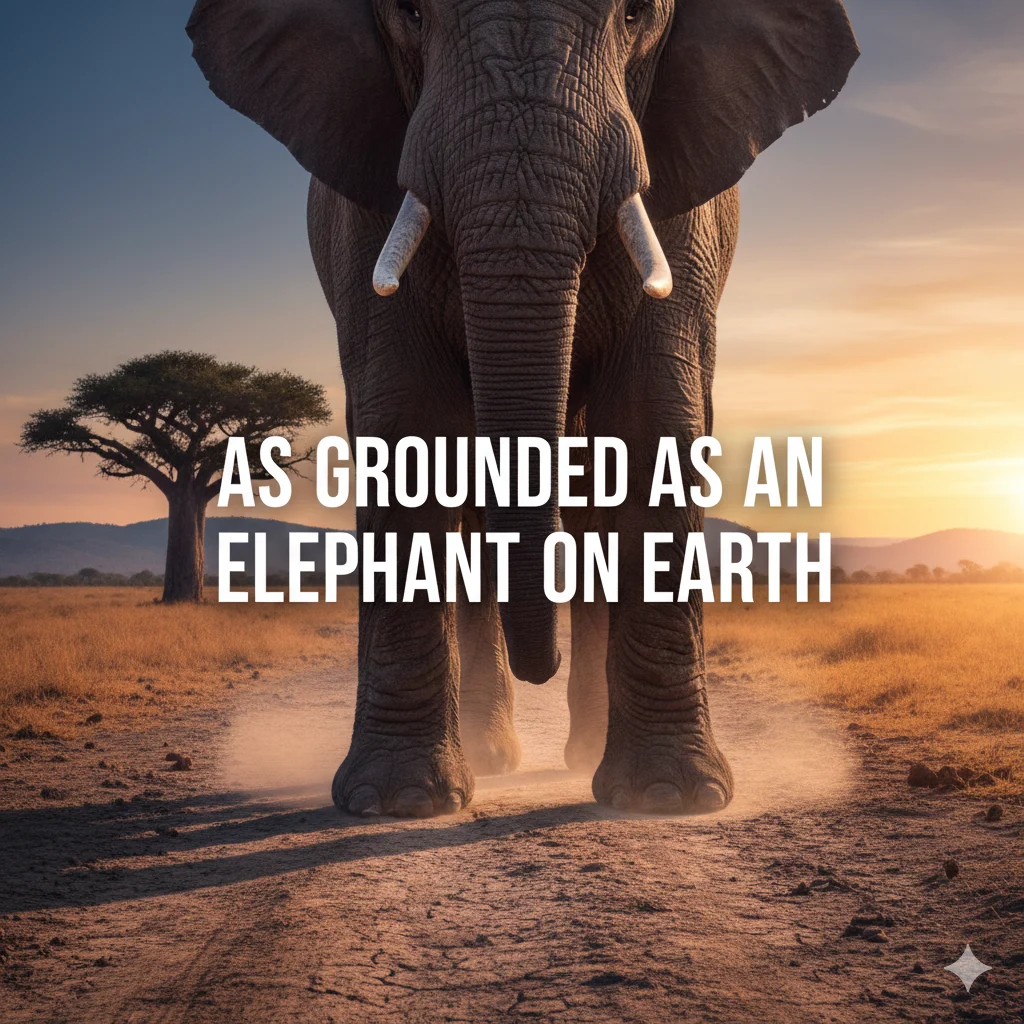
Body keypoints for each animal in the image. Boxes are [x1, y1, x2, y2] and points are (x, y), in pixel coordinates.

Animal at [187, 0, 858, 818]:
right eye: (408, 12)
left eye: (639, 13)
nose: (542, 662)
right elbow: (403, 420)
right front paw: (394, 802)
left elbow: (654, 415)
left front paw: (671, 797)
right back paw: (492, 757)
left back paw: (582, 757)